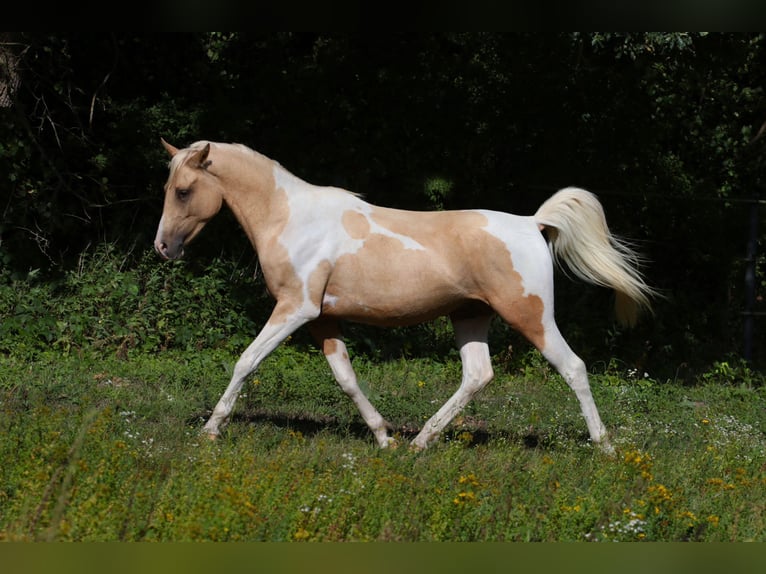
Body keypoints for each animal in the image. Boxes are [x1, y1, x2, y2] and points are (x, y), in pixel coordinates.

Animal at [154, 139, 654, 453]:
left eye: (184, 191)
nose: (163, 247)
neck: (291, 218)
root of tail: (533, 222)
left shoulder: (294, 310)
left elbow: (246, 361)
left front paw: (211, 430)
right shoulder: (322, 319)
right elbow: (346, 378)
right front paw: (383, 437)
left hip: (531, 317)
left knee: (574, 368)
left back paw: (605, 448)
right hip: (470, 316)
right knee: (478, 375)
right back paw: (419, 442)